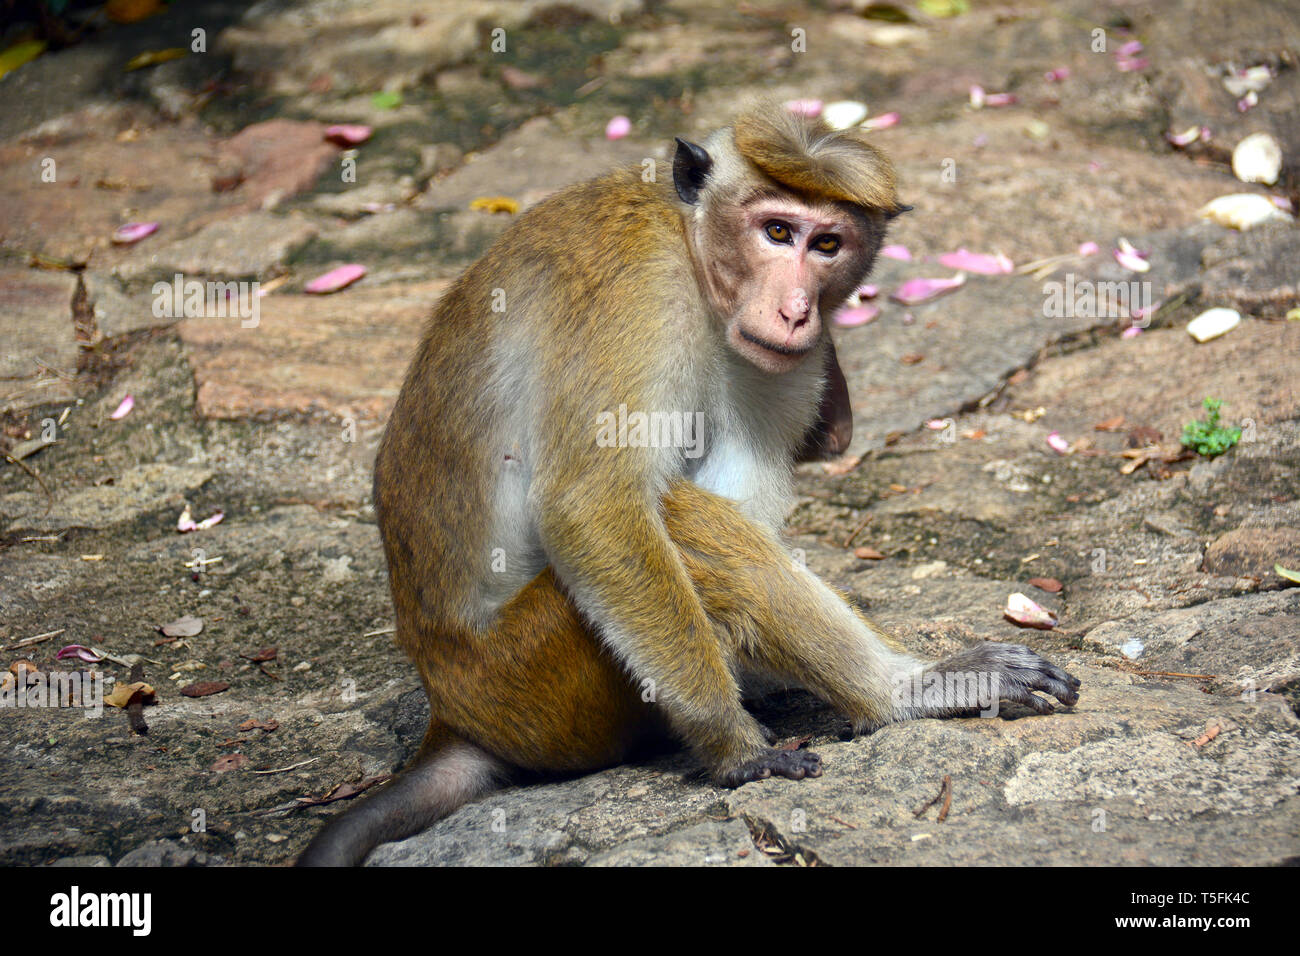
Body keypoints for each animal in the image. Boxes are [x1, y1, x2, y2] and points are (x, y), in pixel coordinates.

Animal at [297, 103, 1080, 866]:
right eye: (776, 231)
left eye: (827, 244)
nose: (797, 310)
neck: (689, 242)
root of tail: (452, 713)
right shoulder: (640, 295)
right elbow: (593, 504)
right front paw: (734, 745)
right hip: (531, 678)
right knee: (679, 517)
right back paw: (904, 692)